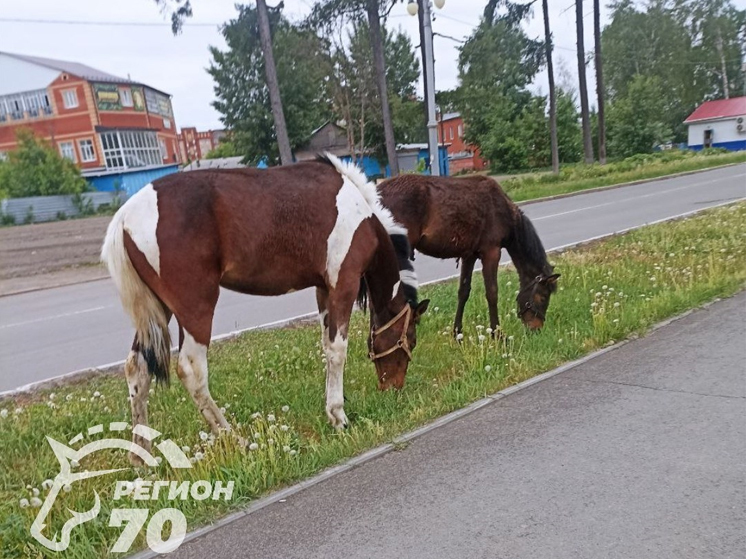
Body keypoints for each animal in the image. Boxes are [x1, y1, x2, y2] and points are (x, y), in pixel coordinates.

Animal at [101, 154, 428, 464]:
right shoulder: (343, 284)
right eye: (410, 340)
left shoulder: (323, 289)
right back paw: (233, 439)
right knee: (191, 370)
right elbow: (337, 350)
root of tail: (125, 218)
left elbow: (326, 346)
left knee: (137, 368)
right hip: (195, 308)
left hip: (159, 310)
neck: (361, 214)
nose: (394, 388)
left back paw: (140, 454)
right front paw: (338, 416)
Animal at [378, 173, 560, 334]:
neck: (505, 212)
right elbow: (492, 293)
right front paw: (497, 334)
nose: (536, 329)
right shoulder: (491, 252)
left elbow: (463, 292)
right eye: (544, 297)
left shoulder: (469, 255)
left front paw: (457, 333)